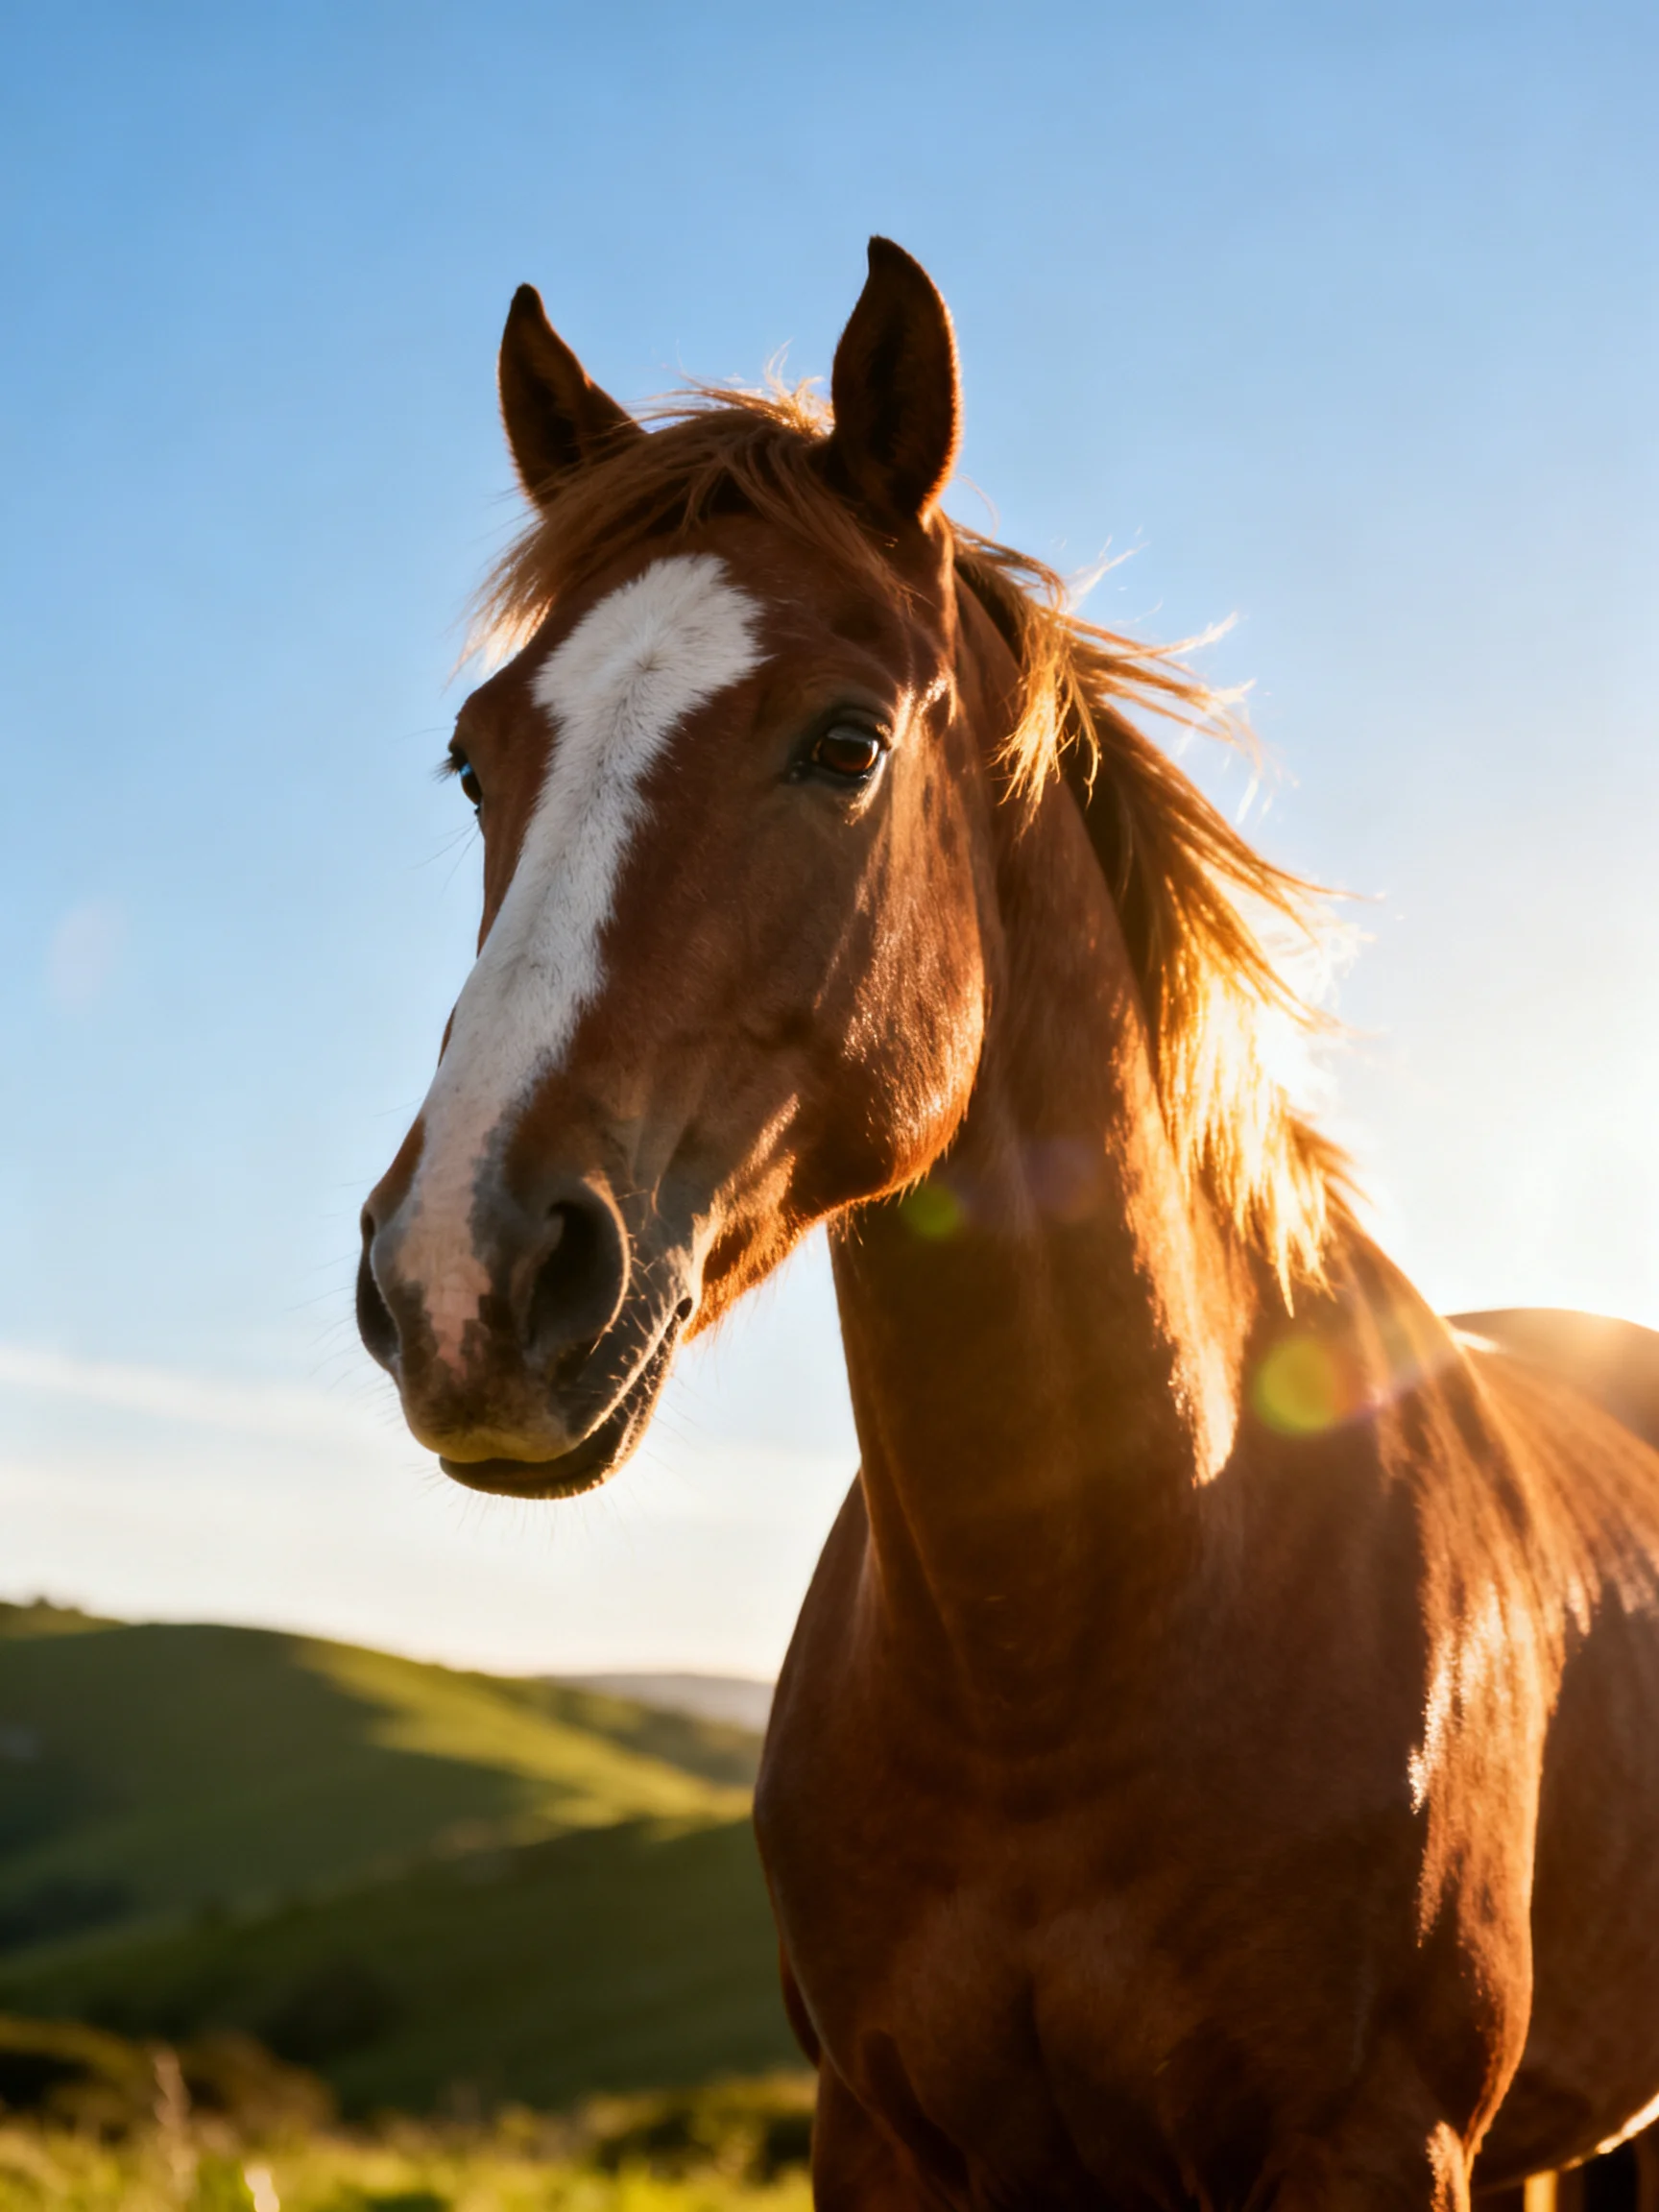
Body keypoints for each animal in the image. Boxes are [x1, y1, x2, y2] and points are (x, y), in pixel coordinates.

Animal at [357, 238, 1659, 2210]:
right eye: (472, 757)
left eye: (843, 743)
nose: (462, 1275)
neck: (1073, 1647)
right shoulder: (880, 2128)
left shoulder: (1376, 2140)